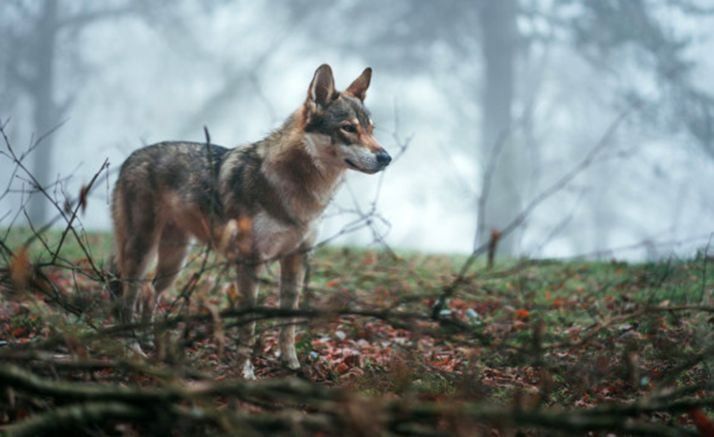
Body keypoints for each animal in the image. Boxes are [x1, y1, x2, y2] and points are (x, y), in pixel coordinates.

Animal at [109, 64, 391, 378]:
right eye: (348, 128)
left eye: (371, 129)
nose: (386, 157)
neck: (298, 189)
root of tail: (131, 157)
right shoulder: (249, 263)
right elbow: (249, 325)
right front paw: (245, 371)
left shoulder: (296, 259)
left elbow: (288, 324)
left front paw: (291, 364)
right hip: (142, 252)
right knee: (127, 300)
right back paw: (133, 350)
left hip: (174, 261)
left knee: (149, 293)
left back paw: (148, 341)